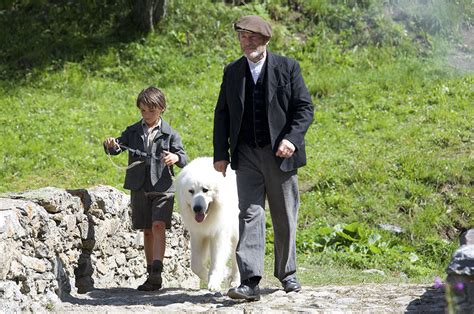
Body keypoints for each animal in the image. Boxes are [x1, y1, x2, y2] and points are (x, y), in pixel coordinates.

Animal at [175, 157, 241, 292]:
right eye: (191, 191)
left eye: (205, 190)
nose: (197, 208)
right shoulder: (197, 234)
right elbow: (195, 265)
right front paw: (210, 276)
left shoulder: (219, 233)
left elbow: (217, 260)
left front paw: (214, 283)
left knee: (236, 256)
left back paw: (236, 282)